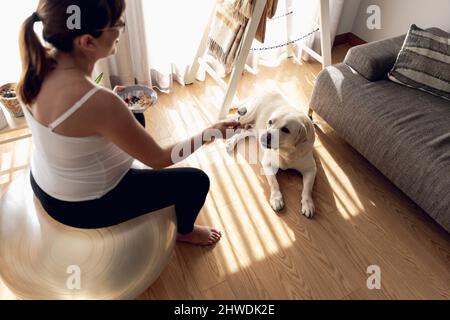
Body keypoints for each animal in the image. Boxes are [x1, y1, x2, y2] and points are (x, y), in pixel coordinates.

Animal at [225, 91, 316, 219]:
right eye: (270, 122)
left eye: (285, 129)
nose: (265, 136)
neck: (287, 152)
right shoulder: (267, 164)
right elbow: (274, 183)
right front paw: (276, 199)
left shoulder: (311, 169)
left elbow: (308, 189)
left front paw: (308, 204)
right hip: (247, 115)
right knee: (237, 120)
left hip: (255, 130)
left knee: (245, 131)